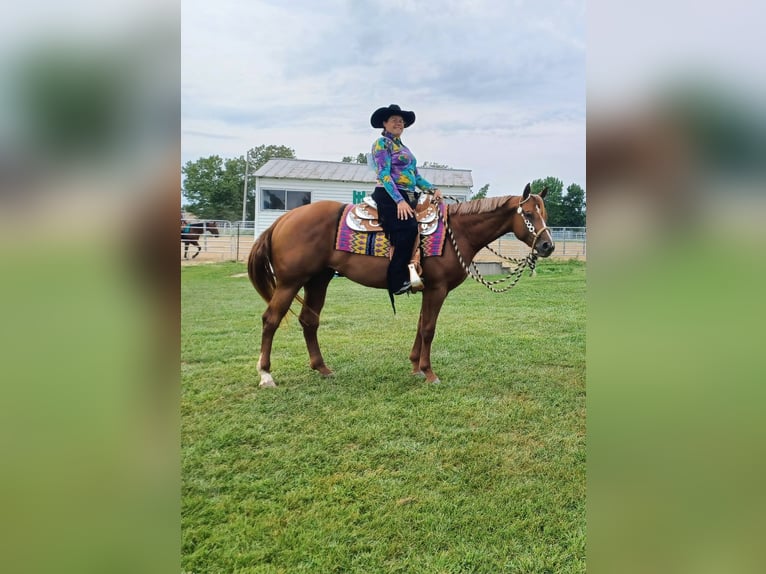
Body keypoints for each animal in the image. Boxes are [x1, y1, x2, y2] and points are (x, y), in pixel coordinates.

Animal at [247, 183, 554, 388]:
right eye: (528, 214)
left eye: (545, 214)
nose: (547, 245)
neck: (457, 232)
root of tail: (283, 220)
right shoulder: (437, 289)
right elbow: (429, 328)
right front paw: (429, 373)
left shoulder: (428, 290)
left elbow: (420, 325)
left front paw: (415, 366)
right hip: (290, 283)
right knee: (270, 320)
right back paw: (266, 375)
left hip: (318, 280)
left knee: (309, 321)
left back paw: (322, 368)